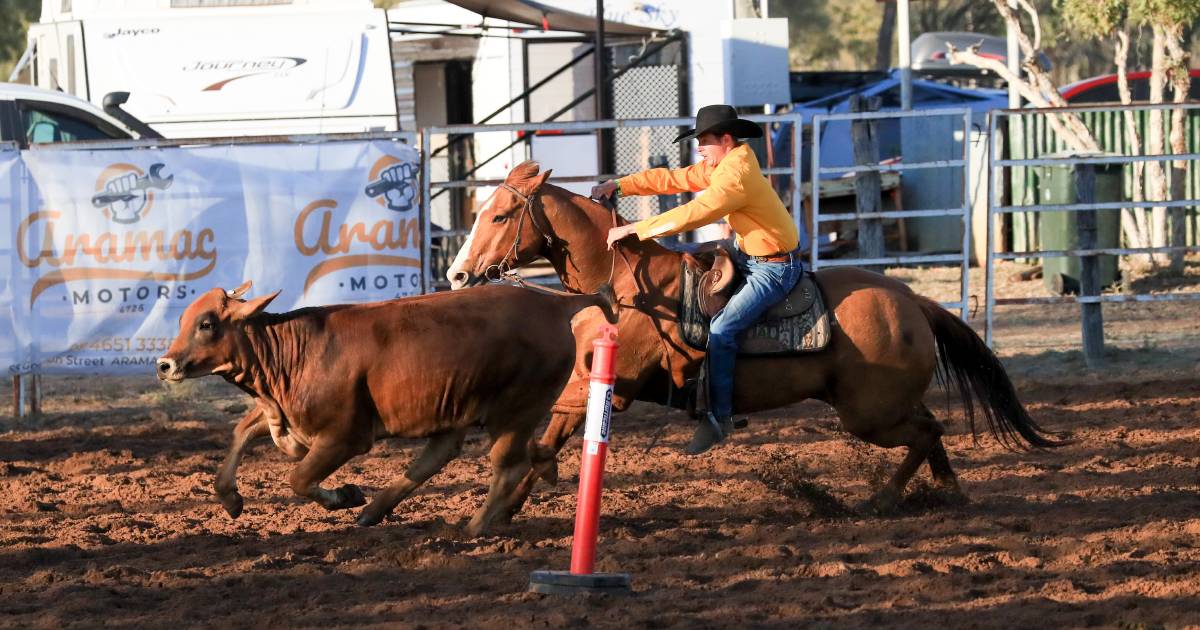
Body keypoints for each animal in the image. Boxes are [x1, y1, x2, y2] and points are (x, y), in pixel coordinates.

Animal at [154, 282, 614, 532]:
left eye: (207, 323)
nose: (164, 364)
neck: (292, 353)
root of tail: (554, 303)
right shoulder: (280, 414)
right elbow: (241, 432)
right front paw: (230, 498)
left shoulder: (344, 437)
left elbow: (298, 478)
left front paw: (345, 495)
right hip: (456, 408)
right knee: (435, 458)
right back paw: (376, 512)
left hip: (516, 411)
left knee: (508, 465)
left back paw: (472, 527)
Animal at [446, 159, 1056, 513]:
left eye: (498, 217)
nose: (456, 275)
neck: (625, 280)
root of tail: (914, 301)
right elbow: (549, 436)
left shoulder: (615, 385)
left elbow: (547, 440)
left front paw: (495, 513)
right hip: (879, 406)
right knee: (932, 431)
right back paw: (949, 494)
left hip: (869, 414)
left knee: (928, 431)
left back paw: (882, 500)